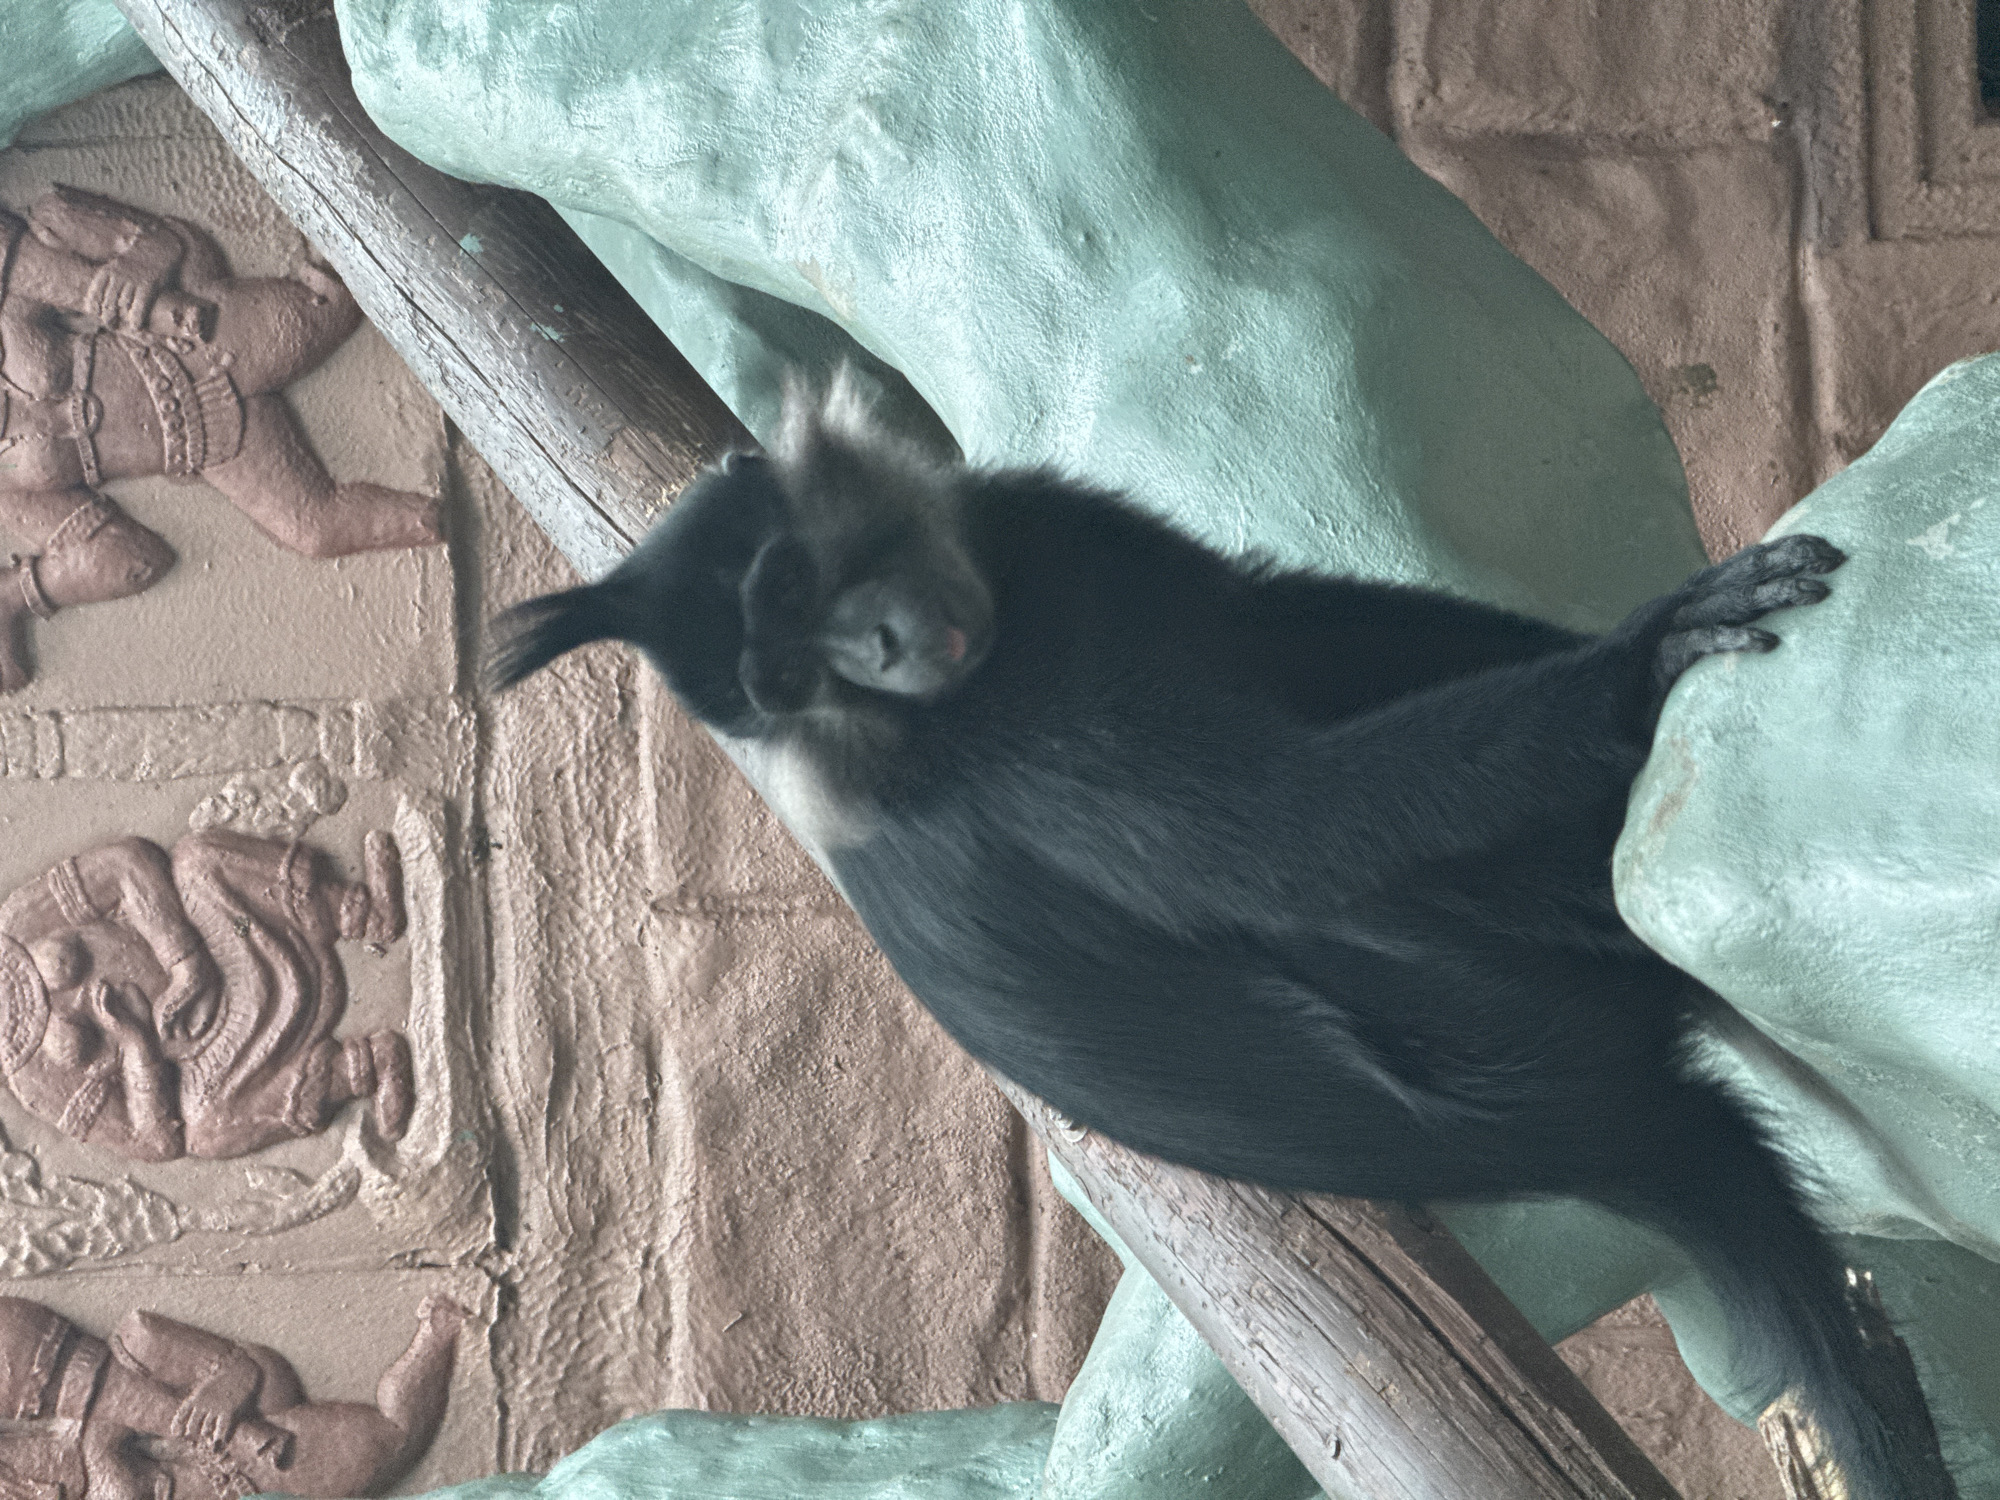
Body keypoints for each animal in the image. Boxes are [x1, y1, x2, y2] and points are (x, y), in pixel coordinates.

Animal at [493, 377, 1931, 1499]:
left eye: (794, 585)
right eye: (784, 672)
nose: (888, 642)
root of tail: (1588, 1133)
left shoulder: (1064, 541)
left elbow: (1269, 610)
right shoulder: (1032, 754)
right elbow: (1282, 838)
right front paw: (1635, 665)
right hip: (1502, 1013)